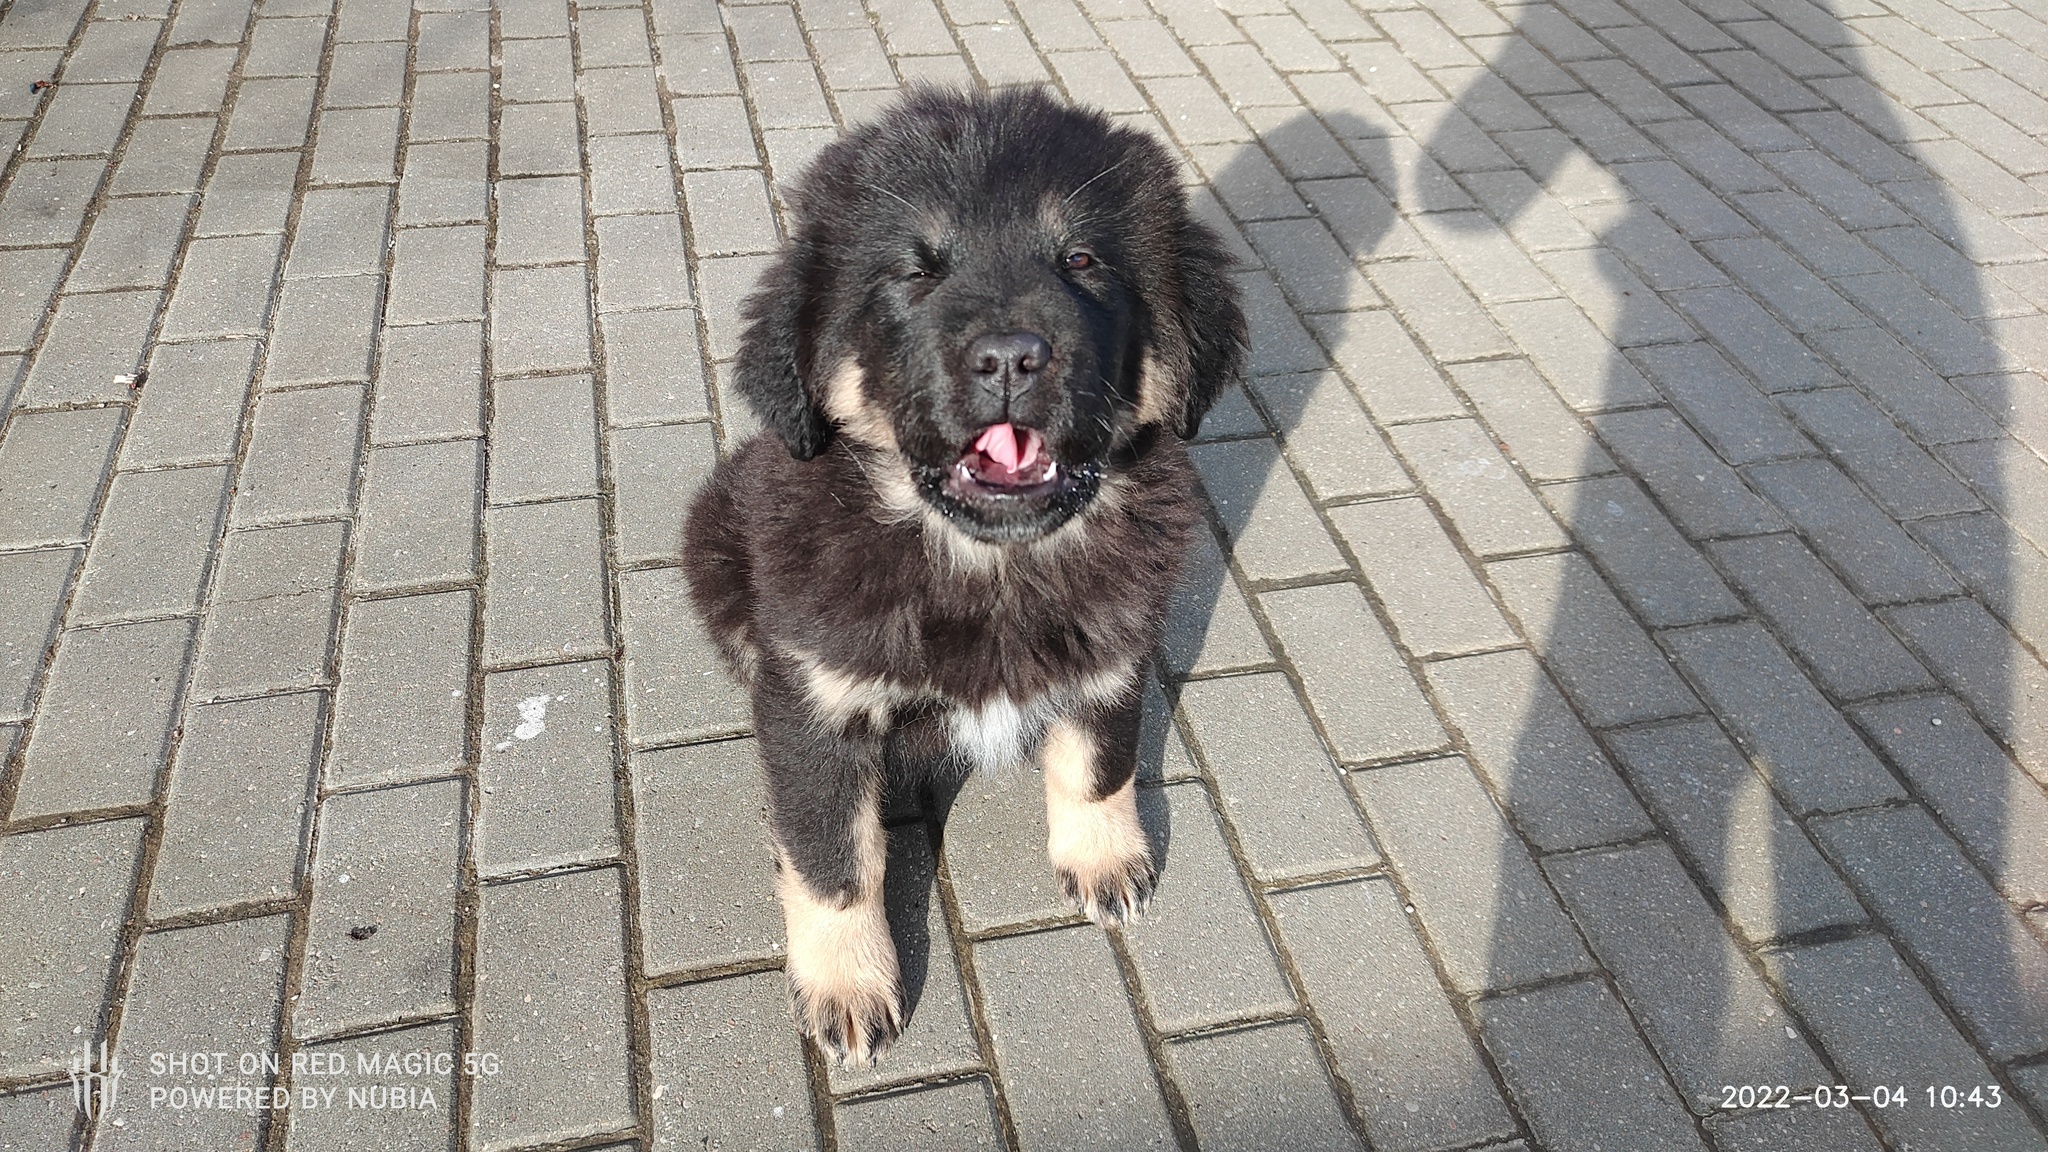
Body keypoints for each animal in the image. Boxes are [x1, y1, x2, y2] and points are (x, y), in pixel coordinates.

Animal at [679, 85, 1236, 1065]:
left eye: (1082, 260)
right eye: (916, 273)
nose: (1012, 356)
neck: (990, 565)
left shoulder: (1116, 645)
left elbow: (1100, 760)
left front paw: (1104, 857)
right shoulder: (814, 705)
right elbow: (831, 858)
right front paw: (848, 985)